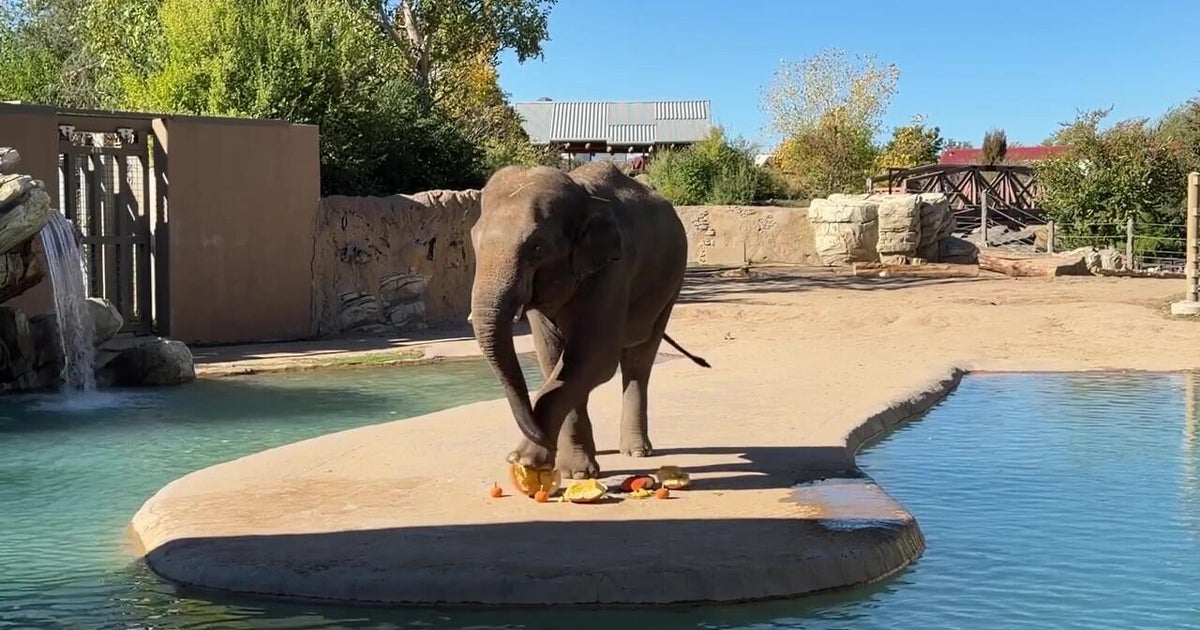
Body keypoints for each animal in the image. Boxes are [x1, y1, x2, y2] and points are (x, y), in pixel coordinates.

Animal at [468, 160, 710, 479]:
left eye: (538, 248)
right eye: (474, 240)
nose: (537, 434)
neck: (582, 194)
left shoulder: (611, 272)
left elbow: (594, 357)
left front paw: (530, 461)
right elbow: (553, 359)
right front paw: (572, 471)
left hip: (672, 283)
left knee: (639, 359)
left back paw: (636, 451)